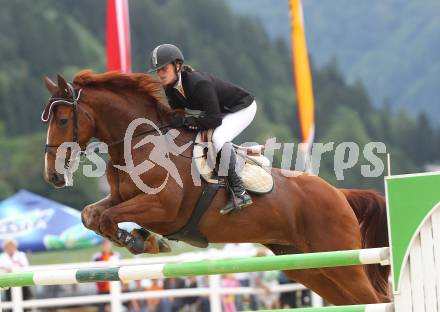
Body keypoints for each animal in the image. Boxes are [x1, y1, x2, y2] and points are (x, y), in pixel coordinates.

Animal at [43, 70, 390, 304]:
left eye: (62, 120)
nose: (53, 177)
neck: (140, 143)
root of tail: (340, 194)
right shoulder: (119, 199)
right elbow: (92, 215)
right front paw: (145, 241)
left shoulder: (162, 208)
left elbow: (107, 218)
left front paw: (143, 241)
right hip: (310, 266)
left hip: (342, 260)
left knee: (377, 300)